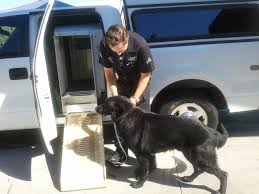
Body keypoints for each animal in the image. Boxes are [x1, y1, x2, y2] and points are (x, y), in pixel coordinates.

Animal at [96, 96, 230, 193]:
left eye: (105, 103)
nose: (95, 108)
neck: (127, 116)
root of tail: (212, 132)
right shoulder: (147, 154)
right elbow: (148, 167)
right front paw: (141, 175)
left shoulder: (142, 155)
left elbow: (144, 171)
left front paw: (140, 183)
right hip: (191, 154)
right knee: (198, 169)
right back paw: (189, 179)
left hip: (201, 158)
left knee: (223, 174)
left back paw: (221, 190)